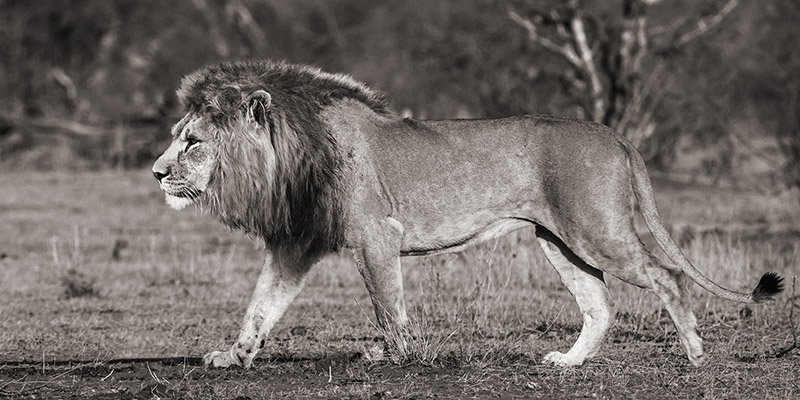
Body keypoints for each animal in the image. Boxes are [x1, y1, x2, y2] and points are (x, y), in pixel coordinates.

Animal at [153, 61, 784, 370]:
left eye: (193, 143)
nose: (157, 172)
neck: (291, 155)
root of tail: (614, 133)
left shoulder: (376, 237)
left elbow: (389, 308)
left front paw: (393, 357)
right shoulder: (296, 243)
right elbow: (260, 307)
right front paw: (232, 357)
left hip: (597, 230)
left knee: (668, 276)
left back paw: (696, 354)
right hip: (560, 240)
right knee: (599, 304)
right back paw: (569, 363)